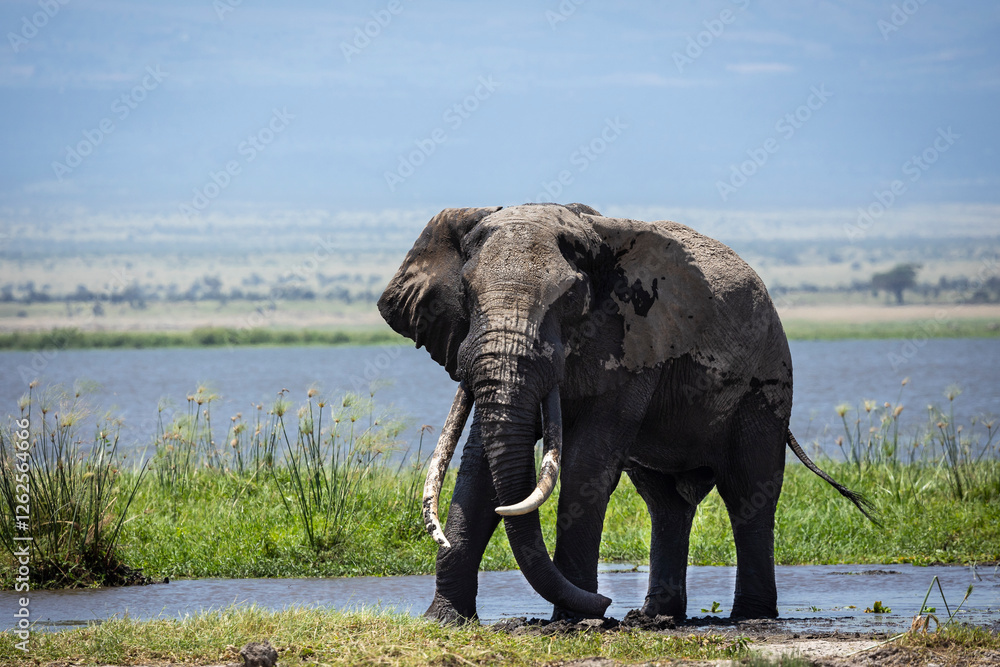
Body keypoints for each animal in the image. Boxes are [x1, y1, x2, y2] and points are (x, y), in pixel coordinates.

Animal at [377, 203, 874, 624]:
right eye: (466, 293)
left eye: (570, 298)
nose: (605, 602)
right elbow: (479, 470)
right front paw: (445, 621)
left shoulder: (635, 341)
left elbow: (586, 467)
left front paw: (575, 621)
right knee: (666, 502)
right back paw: (656, 618)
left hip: (766, 383)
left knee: (749, 492)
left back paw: (751, 617)